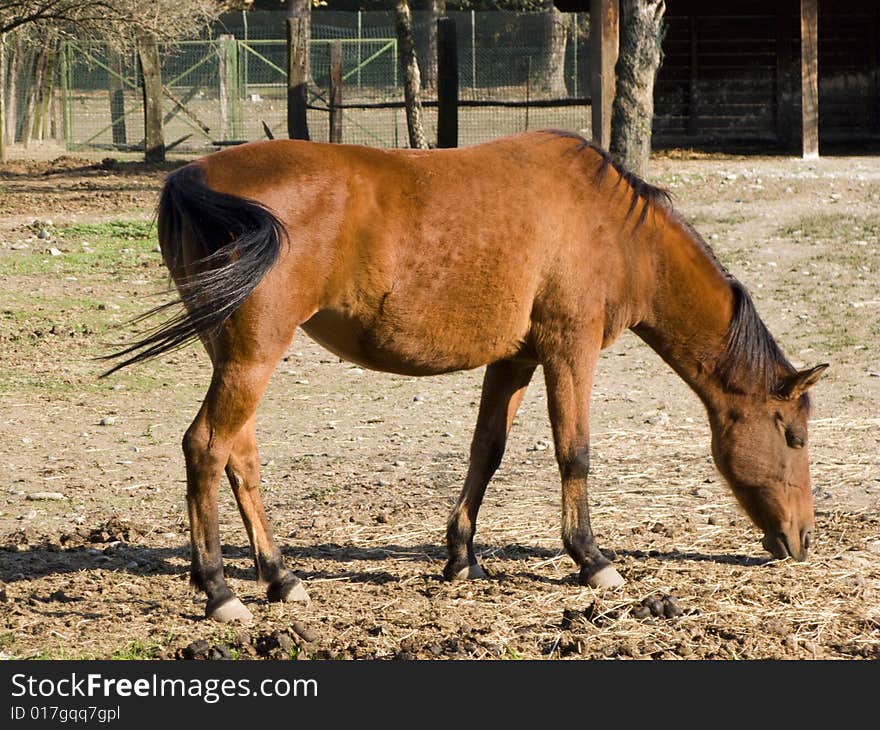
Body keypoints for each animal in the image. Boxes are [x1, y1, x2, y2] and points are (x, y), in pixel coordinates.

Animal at [103, 129, 824, 620]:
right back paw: (219, 589)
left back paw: (281, 577)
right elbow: (575, 452)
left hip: (234, 355)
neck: (615, 229)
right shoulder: (570, 350)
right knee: (206, 448)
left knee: (239, 456)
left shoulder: (515, 359)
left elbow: (487, 452)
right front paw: (591, 560)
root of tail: (196, 176)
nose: (802, 539)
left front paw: (461, 556)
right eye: (794, 436)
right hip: (253, 355)